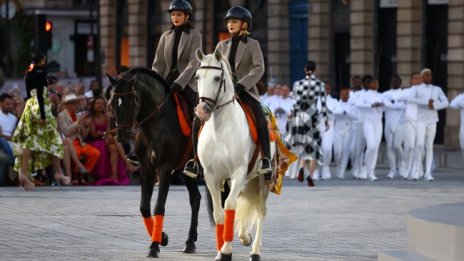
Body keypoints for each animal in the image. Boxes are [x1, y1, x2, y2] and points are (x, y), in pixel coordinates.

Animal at [109, 66, 202, 256]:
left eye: (130, 102)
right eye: (113, 103)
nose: (121, 137)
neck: (156, 121)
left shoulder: (164, 169)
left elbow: (159, 206)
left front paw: (154, 245)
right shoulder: (146, 169)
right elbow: (144, 207)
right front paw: (162, 238)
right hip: (187, 172)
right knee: (195, 199)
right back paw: (190, 241)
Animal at [194, 47, 274, 258]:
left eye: (217, 78)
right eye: (197, 76)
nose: (202, 110)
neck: (220, 129)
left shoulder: (238, 172)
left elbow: (230, 206)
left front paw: (226, 250)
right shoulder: (211, 176)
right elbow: (219, 212)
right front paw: (220, 250)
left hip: (262, 179)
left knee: (261, 210)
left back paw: (254, 249)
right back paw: (244, 236)